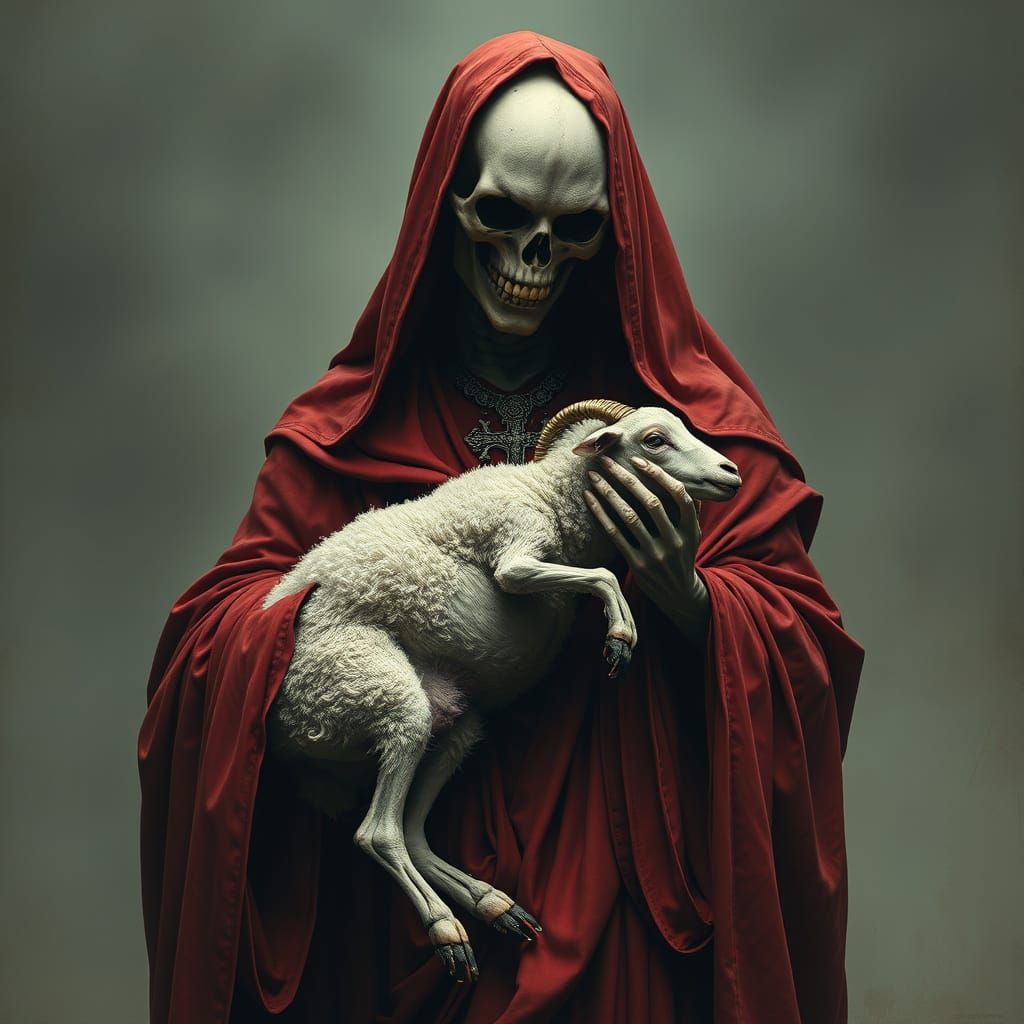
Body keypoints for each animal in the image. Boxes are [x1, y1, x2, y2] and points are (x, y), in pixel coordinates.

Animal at [261, 398, 742, 981]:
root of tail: (288, 735)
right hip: (375, 689)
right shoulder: (517, 553)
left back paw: (495, 905)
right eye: (654, 439)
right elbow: (602, 575)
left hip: (454, 724)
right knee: (378, 833)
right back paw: (446, 930)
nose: (732, 473)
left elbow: (600, 574)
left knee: (414, 832)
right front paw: (621, 636)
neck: (551, 494)